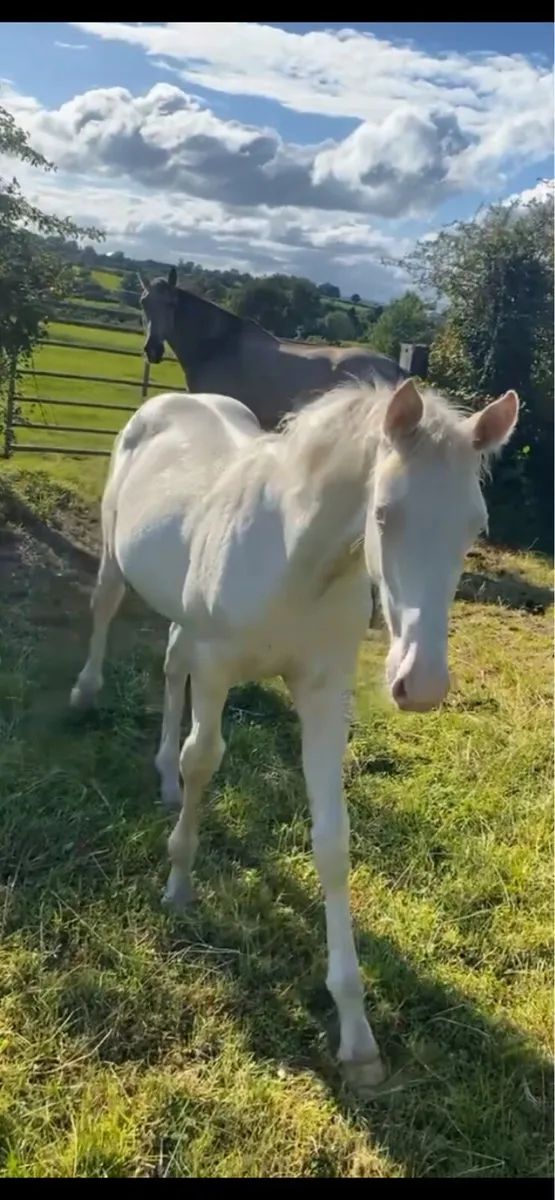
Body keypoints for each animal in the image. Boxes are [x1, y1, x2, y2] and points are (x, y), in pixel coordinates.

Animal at [70, 377, 519, 1093]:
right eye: (383, 514)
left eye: (474, 526)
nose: (420, 684)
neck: (296, 558)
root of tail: (168, 400)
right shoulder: (219, 668)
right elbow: (205, 760)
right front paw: (179, 882)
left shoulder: (323, 694)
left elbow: (332, 841)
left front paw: (357, 1037)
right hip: (119, 556)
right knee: (108, 607)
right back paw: (85, 696)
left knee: (170, 661)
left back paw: (162, 777)